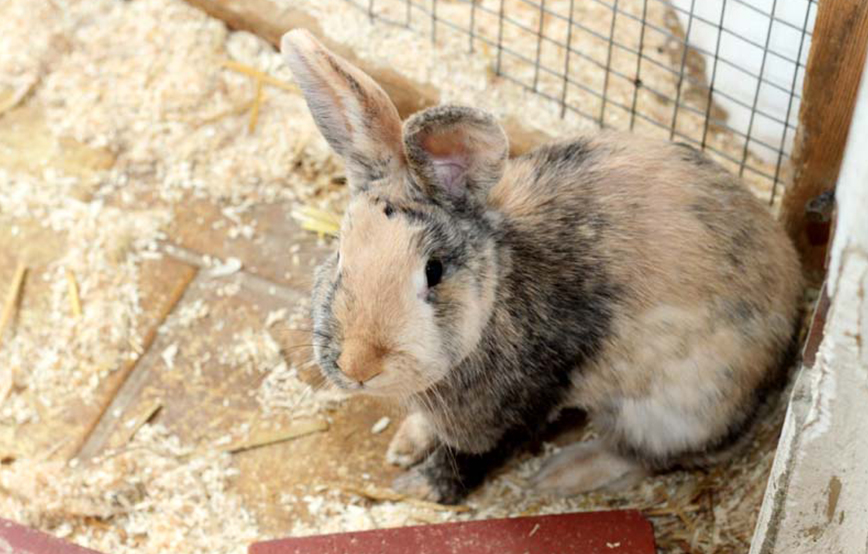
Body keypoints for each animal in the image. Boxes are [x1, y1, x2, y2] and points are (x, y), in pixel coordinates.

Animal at [281, 29, 803, 504]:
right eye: (339, 254)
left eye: (434, 271)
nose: (358, 365)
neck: (496, 292)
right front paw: (405, 444)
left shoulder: (513, 410)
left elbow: (469, 457)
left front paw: (420, 487)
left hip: (674, 410)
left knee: (649, 456)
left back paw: (563, 474)